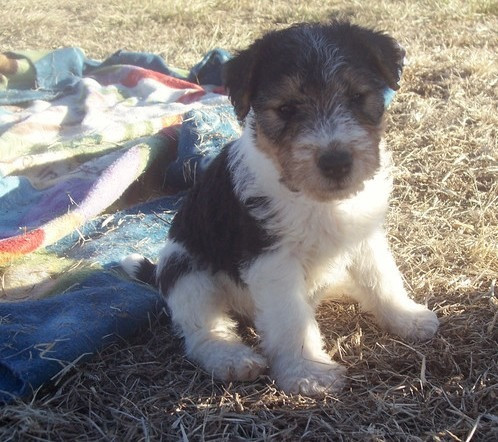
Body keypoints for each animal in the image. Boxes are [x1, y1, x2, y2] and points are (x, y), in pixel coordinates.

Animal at [122, 21, 438, 398]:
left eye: (356, 97)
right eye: (286, 108)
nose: (336, 162)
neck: (314, 200)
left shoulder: (364, 235)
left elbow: (382, 278)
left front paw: (408, 317)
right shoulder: (272, 260)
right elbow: (291, 319)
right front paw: (308, 373)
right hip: (185, 272)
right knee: (203, 331)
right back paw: (232, 358)